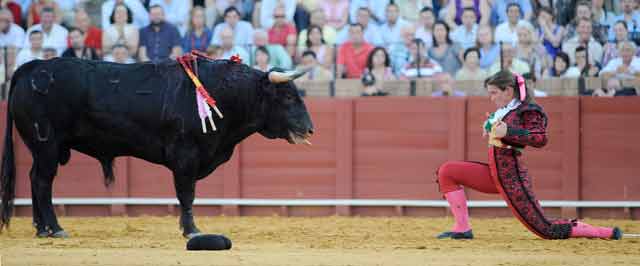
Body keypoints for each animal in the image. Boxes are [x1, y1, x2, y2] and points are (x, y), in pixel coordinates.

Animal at [0, 57, 312, 237]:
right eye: (287, 97)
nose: (310, 129)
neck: (222, 93)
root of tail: (30, 68)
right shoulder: (185, 156)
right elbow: (187, 194)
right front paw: (191, 231)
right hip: (47, 145)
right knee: (43, 182)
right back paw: (56, 229)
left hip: (40, 149)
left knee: (35, 179)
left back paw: (41, 229)